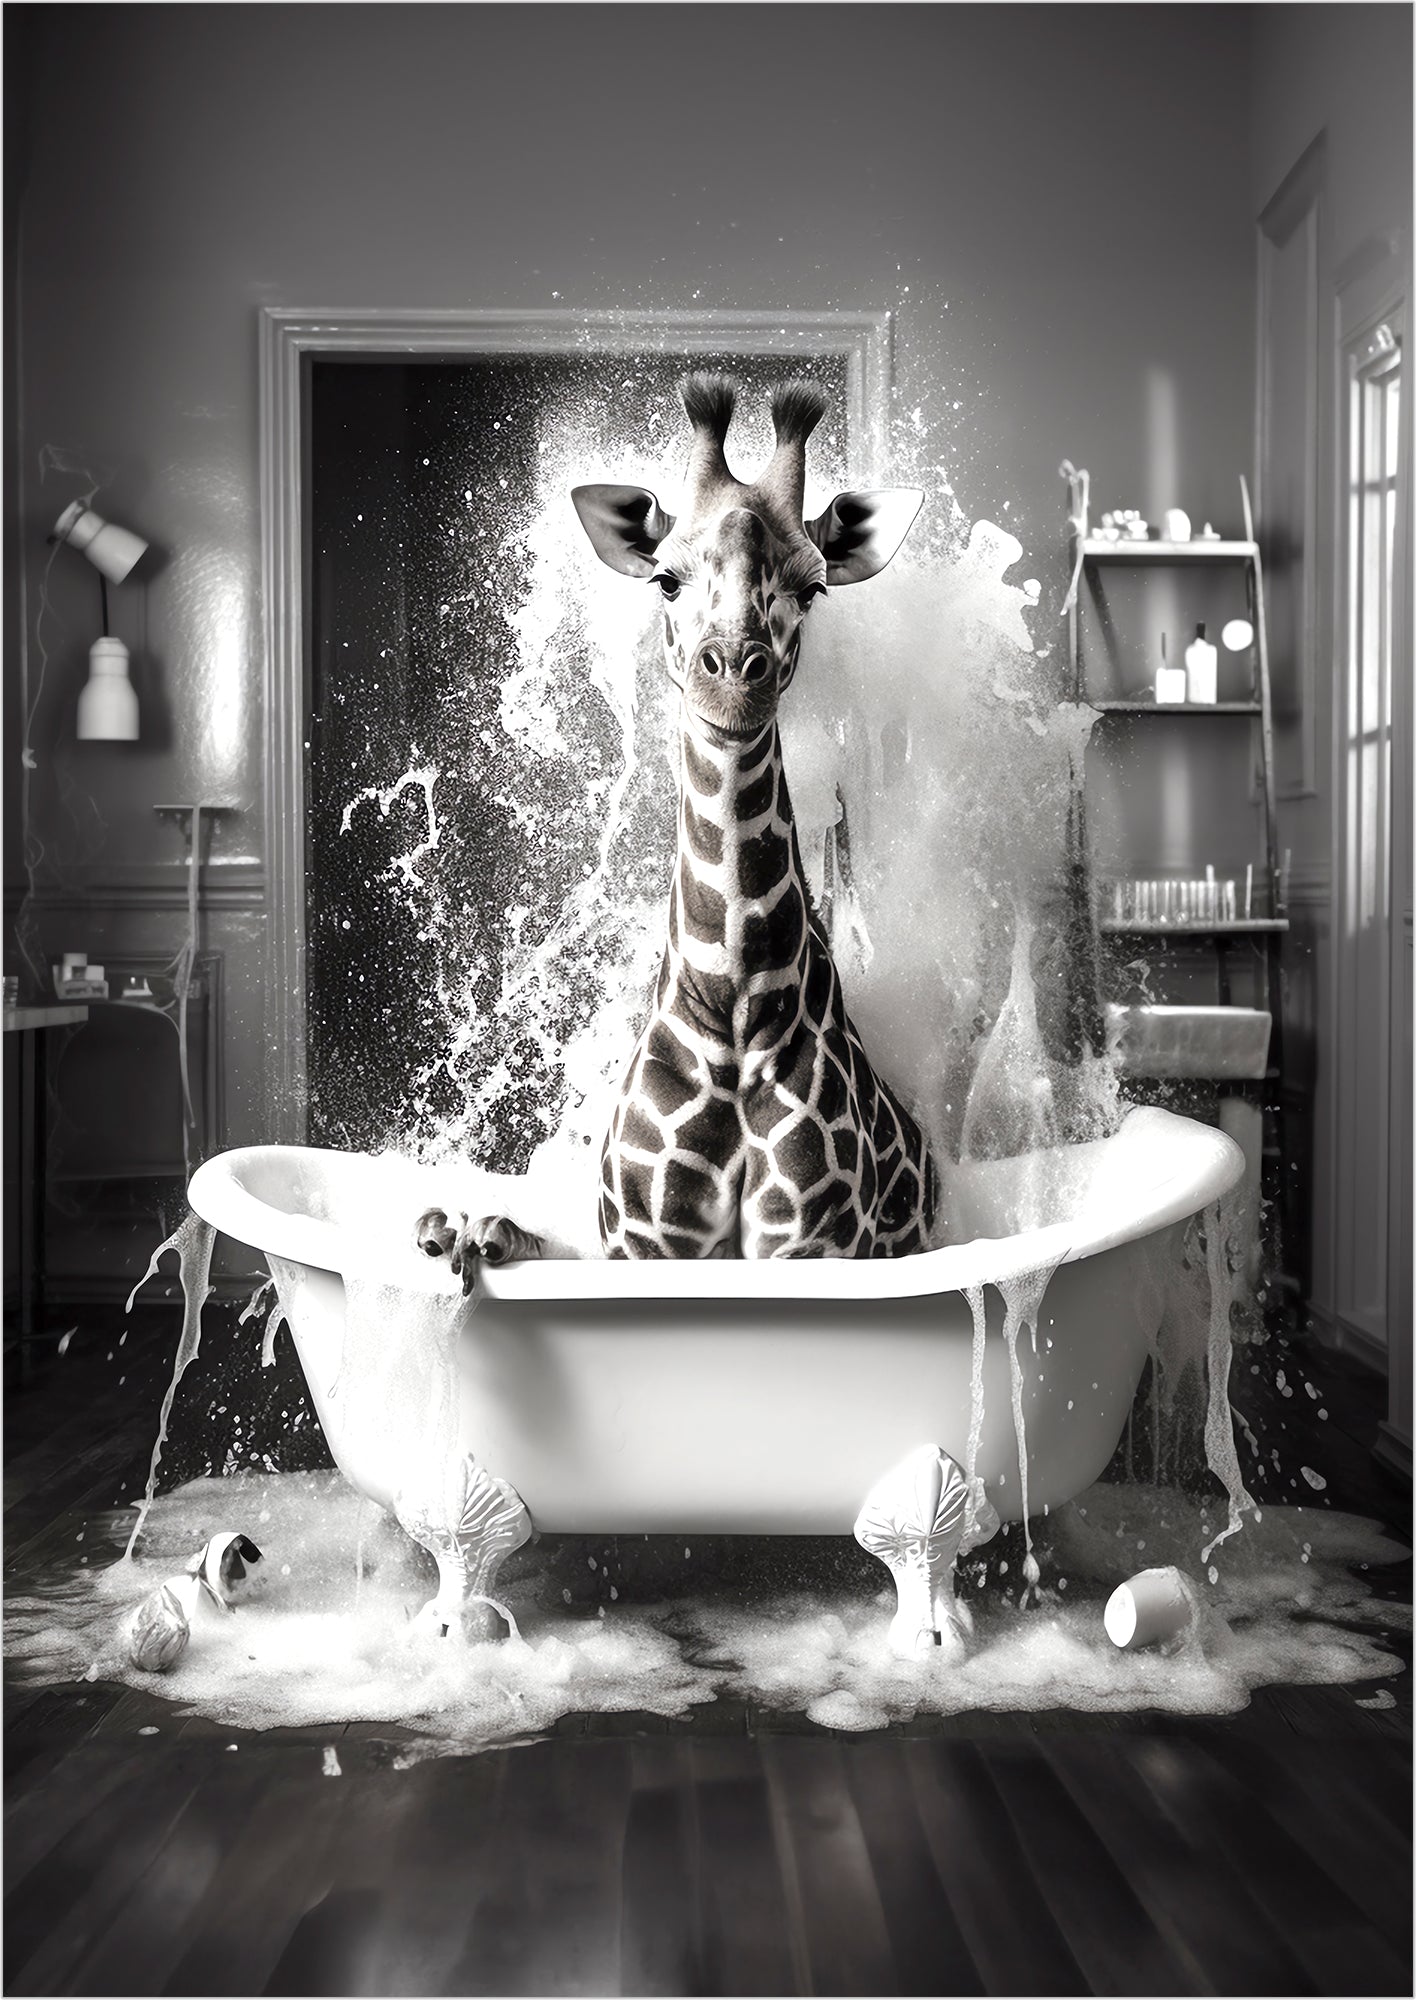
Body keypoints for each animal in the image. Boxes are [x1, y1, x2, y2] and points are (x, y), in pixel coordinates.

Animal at [569, 373, 935, 1260]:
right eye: (665, 578)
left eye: (812, 586)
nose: (735, 677)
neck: (734, 1013)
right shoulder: (646, 1244)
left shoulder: (815, 1243)